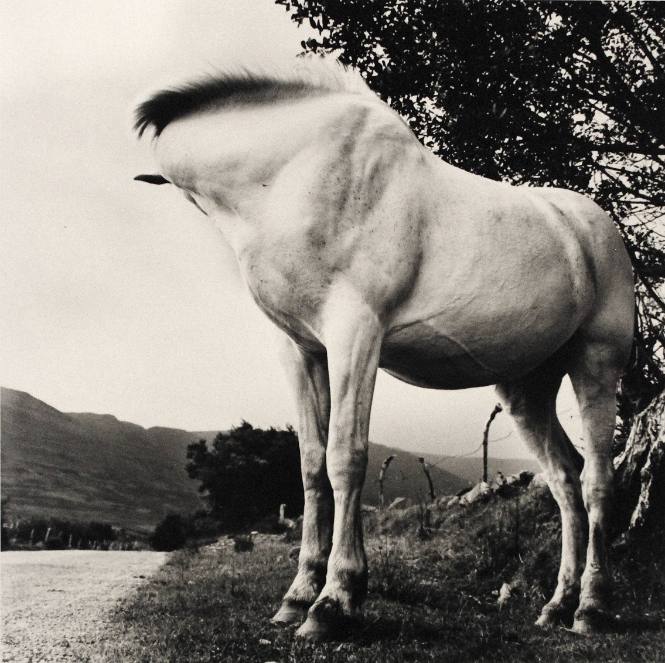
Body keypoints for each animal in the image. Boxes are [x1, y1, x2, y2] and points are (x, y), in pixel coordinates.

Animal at [134, 58, 634, 640]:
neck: (293, 170)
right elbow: (311, 466)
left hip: (596, 364)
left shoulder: (355, 335)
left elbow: (345, 458)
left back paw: (591, 607)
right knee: (564, 479)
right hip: (525, 389)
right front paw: (297, 596)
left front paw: (334, 600)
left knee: (597, 479)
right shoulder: (301, 350)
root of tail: (593, 229)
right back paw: (557, 605)